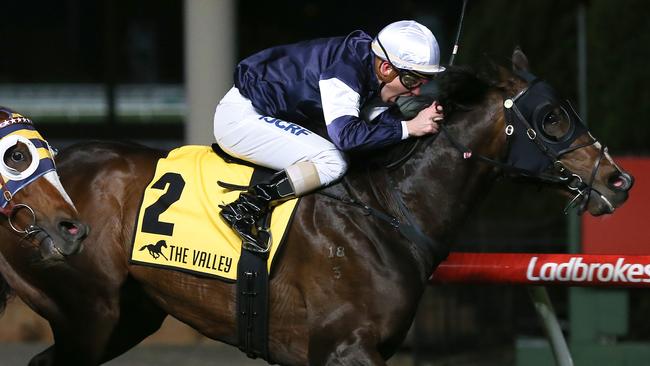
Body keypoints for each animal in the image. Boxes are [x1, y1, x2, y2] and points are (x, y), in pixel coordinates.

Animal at [0, 49, 632, 366]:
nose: (619, 179)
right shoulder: (345, 350)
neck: (391, 210)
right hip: (88, 313)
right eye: (553, 117)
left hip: (129, 314)